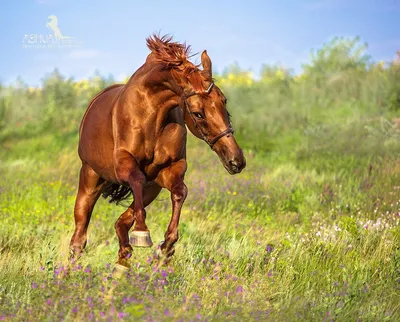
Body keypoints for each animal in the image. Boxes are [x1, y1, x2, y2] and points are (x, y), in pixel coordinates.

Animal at [69, 34, 247, 268]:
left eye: (224, 102)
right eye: (198, 114)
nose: (236, 161)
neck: (151, 115)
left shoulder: (170, 169)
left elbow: (180, 192)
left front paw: (167, 247)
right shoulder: (123, 164)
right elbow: (136, 179)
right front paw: (142, 233)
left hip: (151, 189)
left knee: (121, 222)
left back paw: (122, 262)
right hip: (90, 179)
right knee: (79, 235)